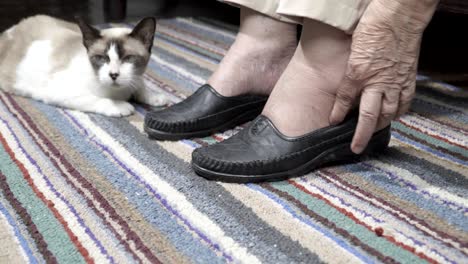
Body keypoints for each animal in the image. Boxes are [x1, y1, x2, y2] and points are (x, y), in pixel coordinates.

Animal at [0, 15, 166, 116]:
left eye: (128, 58)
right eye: (101, 58)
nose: (113, 75)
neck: (121, 92)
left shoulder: (135, 78)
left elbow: (141, 87)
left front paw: (157, 98)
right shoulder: (61, 92)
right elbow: (98, 99)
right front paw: (121, 107)